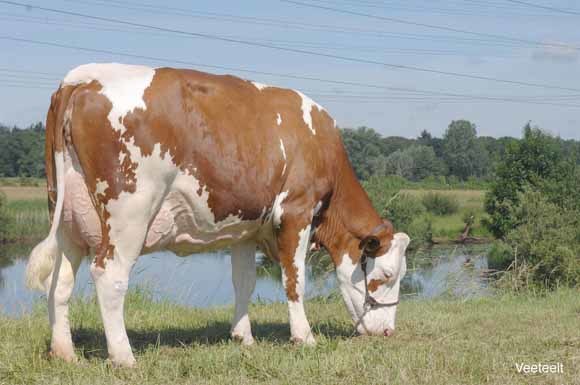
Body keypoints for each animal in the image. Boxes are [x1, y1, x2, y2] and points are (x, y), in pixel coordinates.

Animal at [24, 63, 410, 366]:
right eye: (386, 275)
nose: (388, 332)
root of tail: (82, 79)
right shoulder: (295, 211)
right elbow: (294, 280)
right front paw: (304, 337)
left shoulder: (246, 229)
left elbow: (244, 281)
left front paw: (243, 336)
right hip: (129, 214)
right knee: (110, 275)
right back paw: (124, 357)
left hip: (69, 218)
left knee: (60, 281)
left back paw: (65, 352)